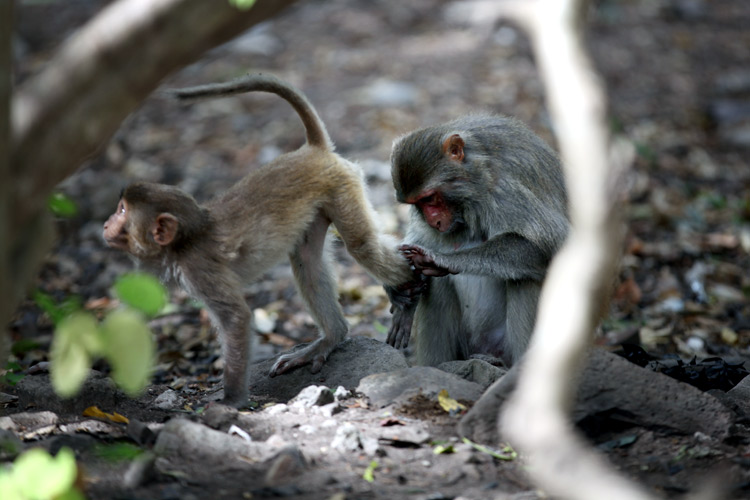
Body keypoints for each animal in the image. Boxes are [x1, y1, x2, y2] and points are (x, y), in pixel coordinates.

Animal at [105, 75, 420, 410]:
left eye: (122, 210)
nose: (107, 223)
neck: (187, 239)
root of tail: (312, 150)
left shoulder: (200, 270)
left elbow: (237, 319)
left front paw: (231, 400)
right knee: (308, 263)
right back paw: (331, 338)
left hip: (342, 184)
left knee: (361, 245)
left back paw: (408, 293)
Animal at [388, 115, 568, 370]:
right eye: (418, 204)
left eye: (430, 198)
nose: (433, 221)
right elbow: (421, 241)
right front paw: (403, 289)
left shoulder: (504, 190)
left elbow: (553, 246)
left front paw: (446, 261)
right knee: (439, 284)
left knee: (526, 275)